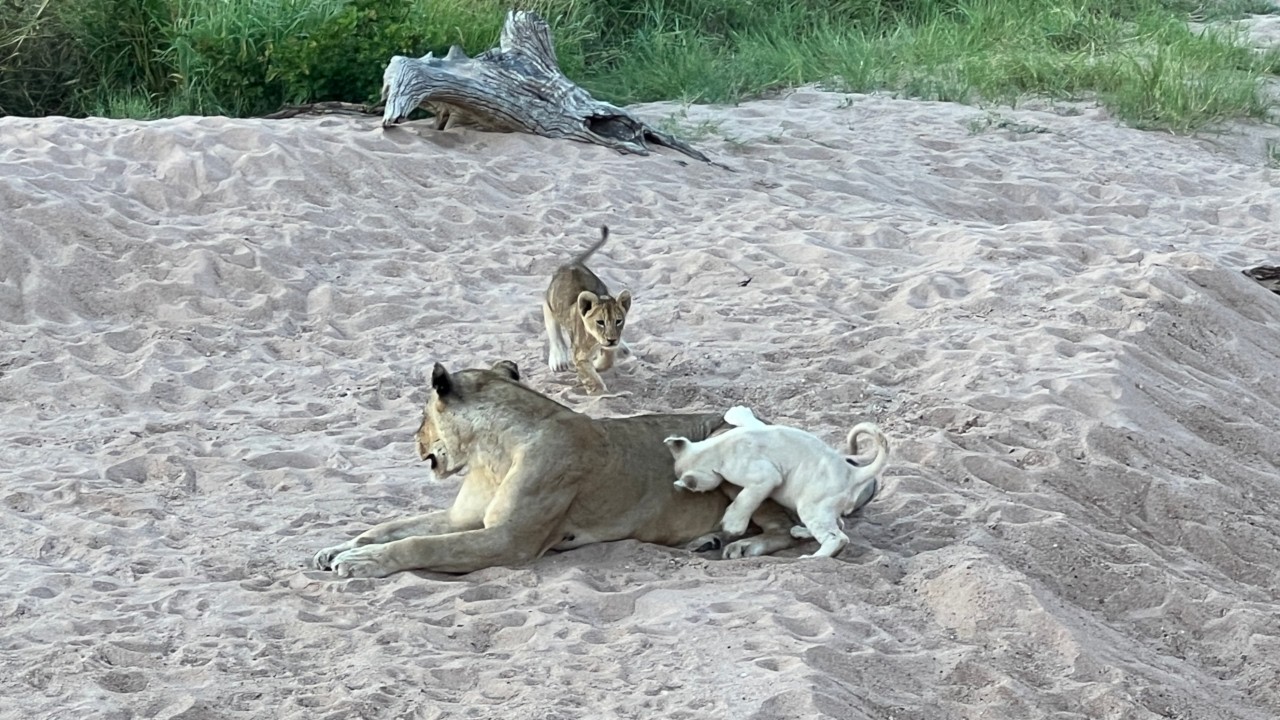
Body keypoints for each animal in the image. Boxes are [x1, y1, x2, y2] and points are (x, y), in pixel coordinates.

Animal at [311, 360, 801, 578]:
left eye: (421, 417)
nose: (414, 441)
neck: (490, 454)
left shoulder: (510, 541)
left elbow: (419, 545)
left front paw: (362, 562)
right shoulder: (462, 517)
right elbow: (391, 527)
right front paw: (337, 549)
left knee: (787, 530)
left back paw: (742, 545)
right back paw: (708, 539)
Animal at [542, 225, 632, 394]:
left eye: (618, 321)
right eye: (600, 322)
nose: (612, 339)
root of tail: (572, 264)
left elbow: (607, 361)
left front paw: (599, 364)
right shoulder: (579, 354)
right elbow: (589, 374)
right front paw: (599, 391)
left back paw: (623, 347)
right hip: (550, 302)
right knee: (552, 325)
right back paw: (558, 360)